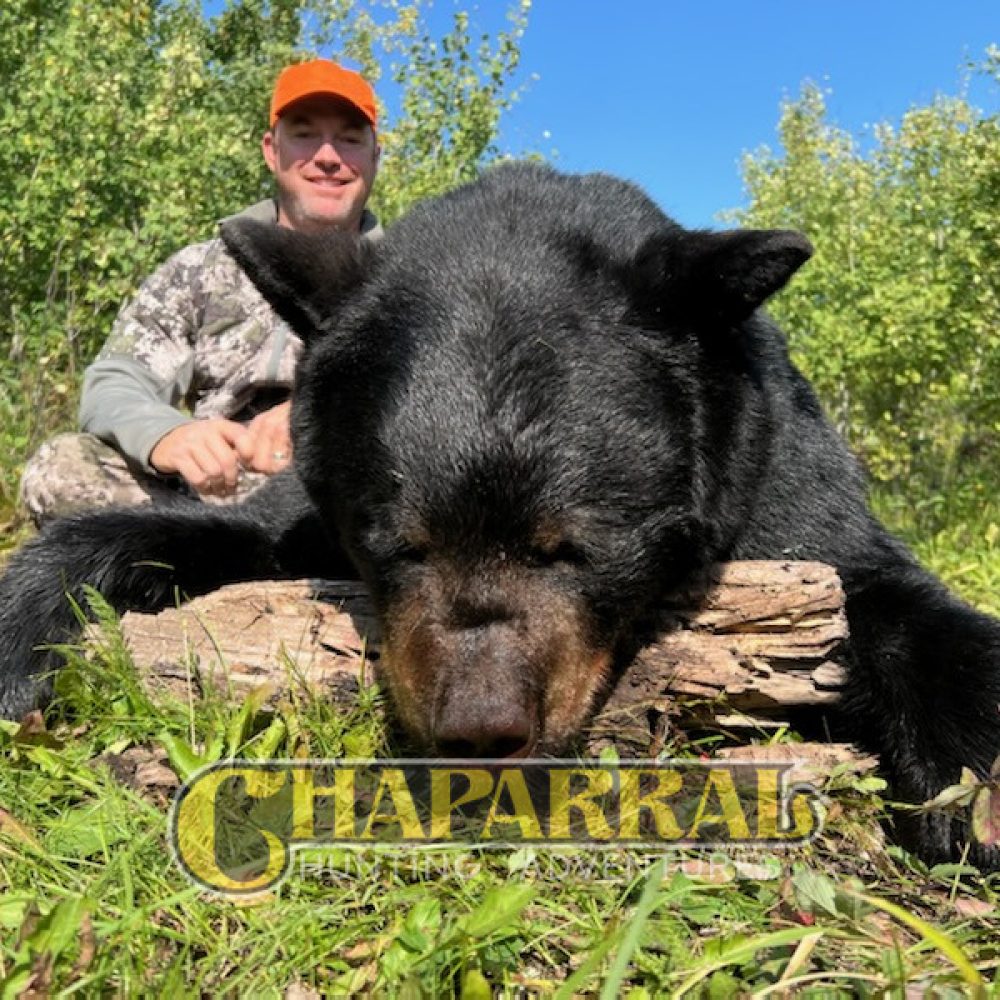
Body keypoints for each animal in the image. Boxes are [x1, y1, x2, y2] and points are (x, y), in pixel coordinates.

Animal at [0, 161, 997, 868]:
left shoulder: (785, 486)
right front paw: (23, 636)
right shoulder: (299, 508)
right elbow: (195, 533)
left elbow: (887, 593)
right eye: (396, 544)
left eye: (577, 548)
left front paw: (974, 787)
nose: (480, 730)